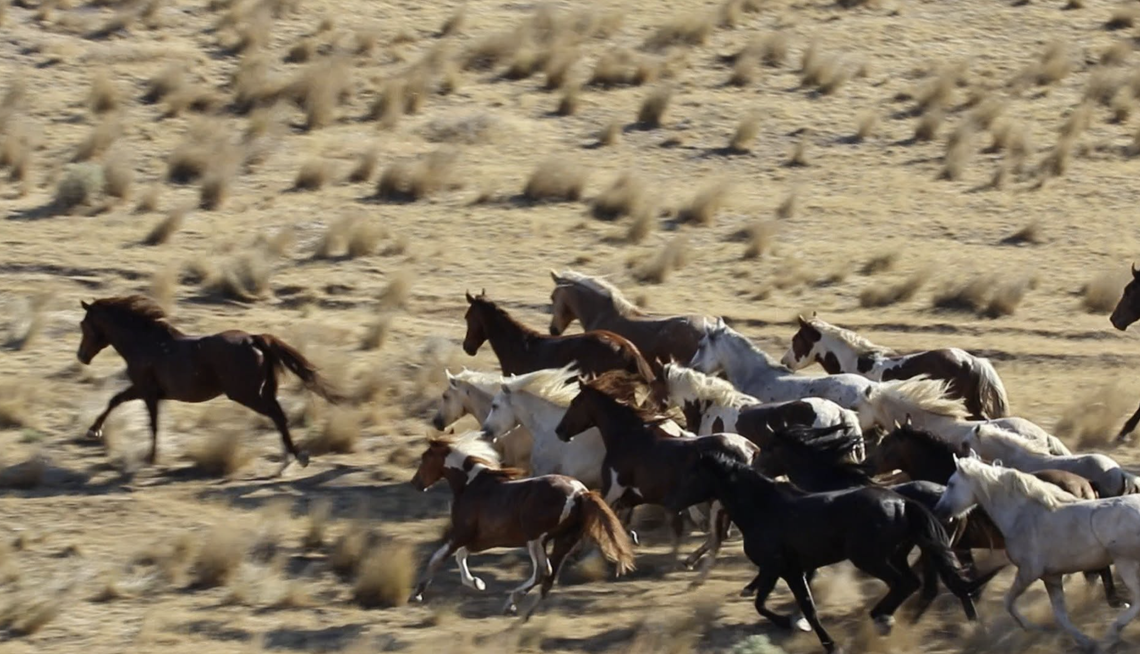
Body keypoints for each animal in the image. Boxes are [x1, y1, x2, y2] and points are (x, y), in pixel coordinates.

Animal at [77, 295, 342, 473]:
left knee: (277, 416)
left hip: (244, 394)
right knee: (279, 417)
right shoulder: (145, 390)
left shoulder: (147, 392)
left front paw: (150, 458)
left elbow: (151, 424)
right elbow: (116, 399)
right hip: (261, 392)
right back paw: (287, 460)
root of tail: (253, 339)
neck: (144, 343)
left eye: (84, 325)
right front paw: (94, 429)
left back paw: (296, 458)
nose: (81, 356)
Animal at [408, 432, 635, 619]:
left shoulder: (461, 533)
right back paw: (522, 614)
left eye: (424, 458)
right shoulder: (482, 539)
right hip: (564, 541)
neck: (470, 485)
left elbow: (438, 557)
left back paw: (512, 603)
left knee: (543, 572)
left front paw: (417, 593)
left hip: (535, 538)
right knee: (548, 579)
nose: (415, 483)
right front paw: (478, 583)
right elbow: (460, 555)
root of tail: (580, 493)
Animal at [553, 377, 760, 579]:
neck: (628, 438)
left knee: (720, 534)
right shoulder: (630, 497)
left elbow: (599, 521)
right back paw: (689, 561)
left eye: (575, 402)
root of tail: (749, 446)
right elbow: (618, 523)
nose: (559, 431)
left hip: (719, 502)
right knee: (721, 534)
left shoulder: (613, 489)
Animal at [664, 450, 995, 653]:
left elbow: (782, 606)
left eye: (692, 475)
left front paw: (812, 634)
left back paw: (882, 619)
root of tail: (903, 502)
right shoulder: (788, 570)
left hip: (871, 558)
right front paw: (801, 627)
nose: (672, 503)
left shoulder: (779, 568)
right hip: (896, 555)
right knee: (919, 584)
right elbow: (783, 603)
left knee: (908, 584)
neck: (763, 508)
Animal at [934, 456, 1140, 652]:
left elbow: (1008, 602)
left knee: (1137, 599)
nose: (939, 511)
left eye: (951, 484)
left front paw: (1032, 628)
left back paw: (1112, 633)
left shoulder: (1028, 572)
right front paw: (1086, 642)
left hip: (1125, 562)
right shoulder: (1051, 577)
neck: (1022, 516)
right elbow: (1060, 616)